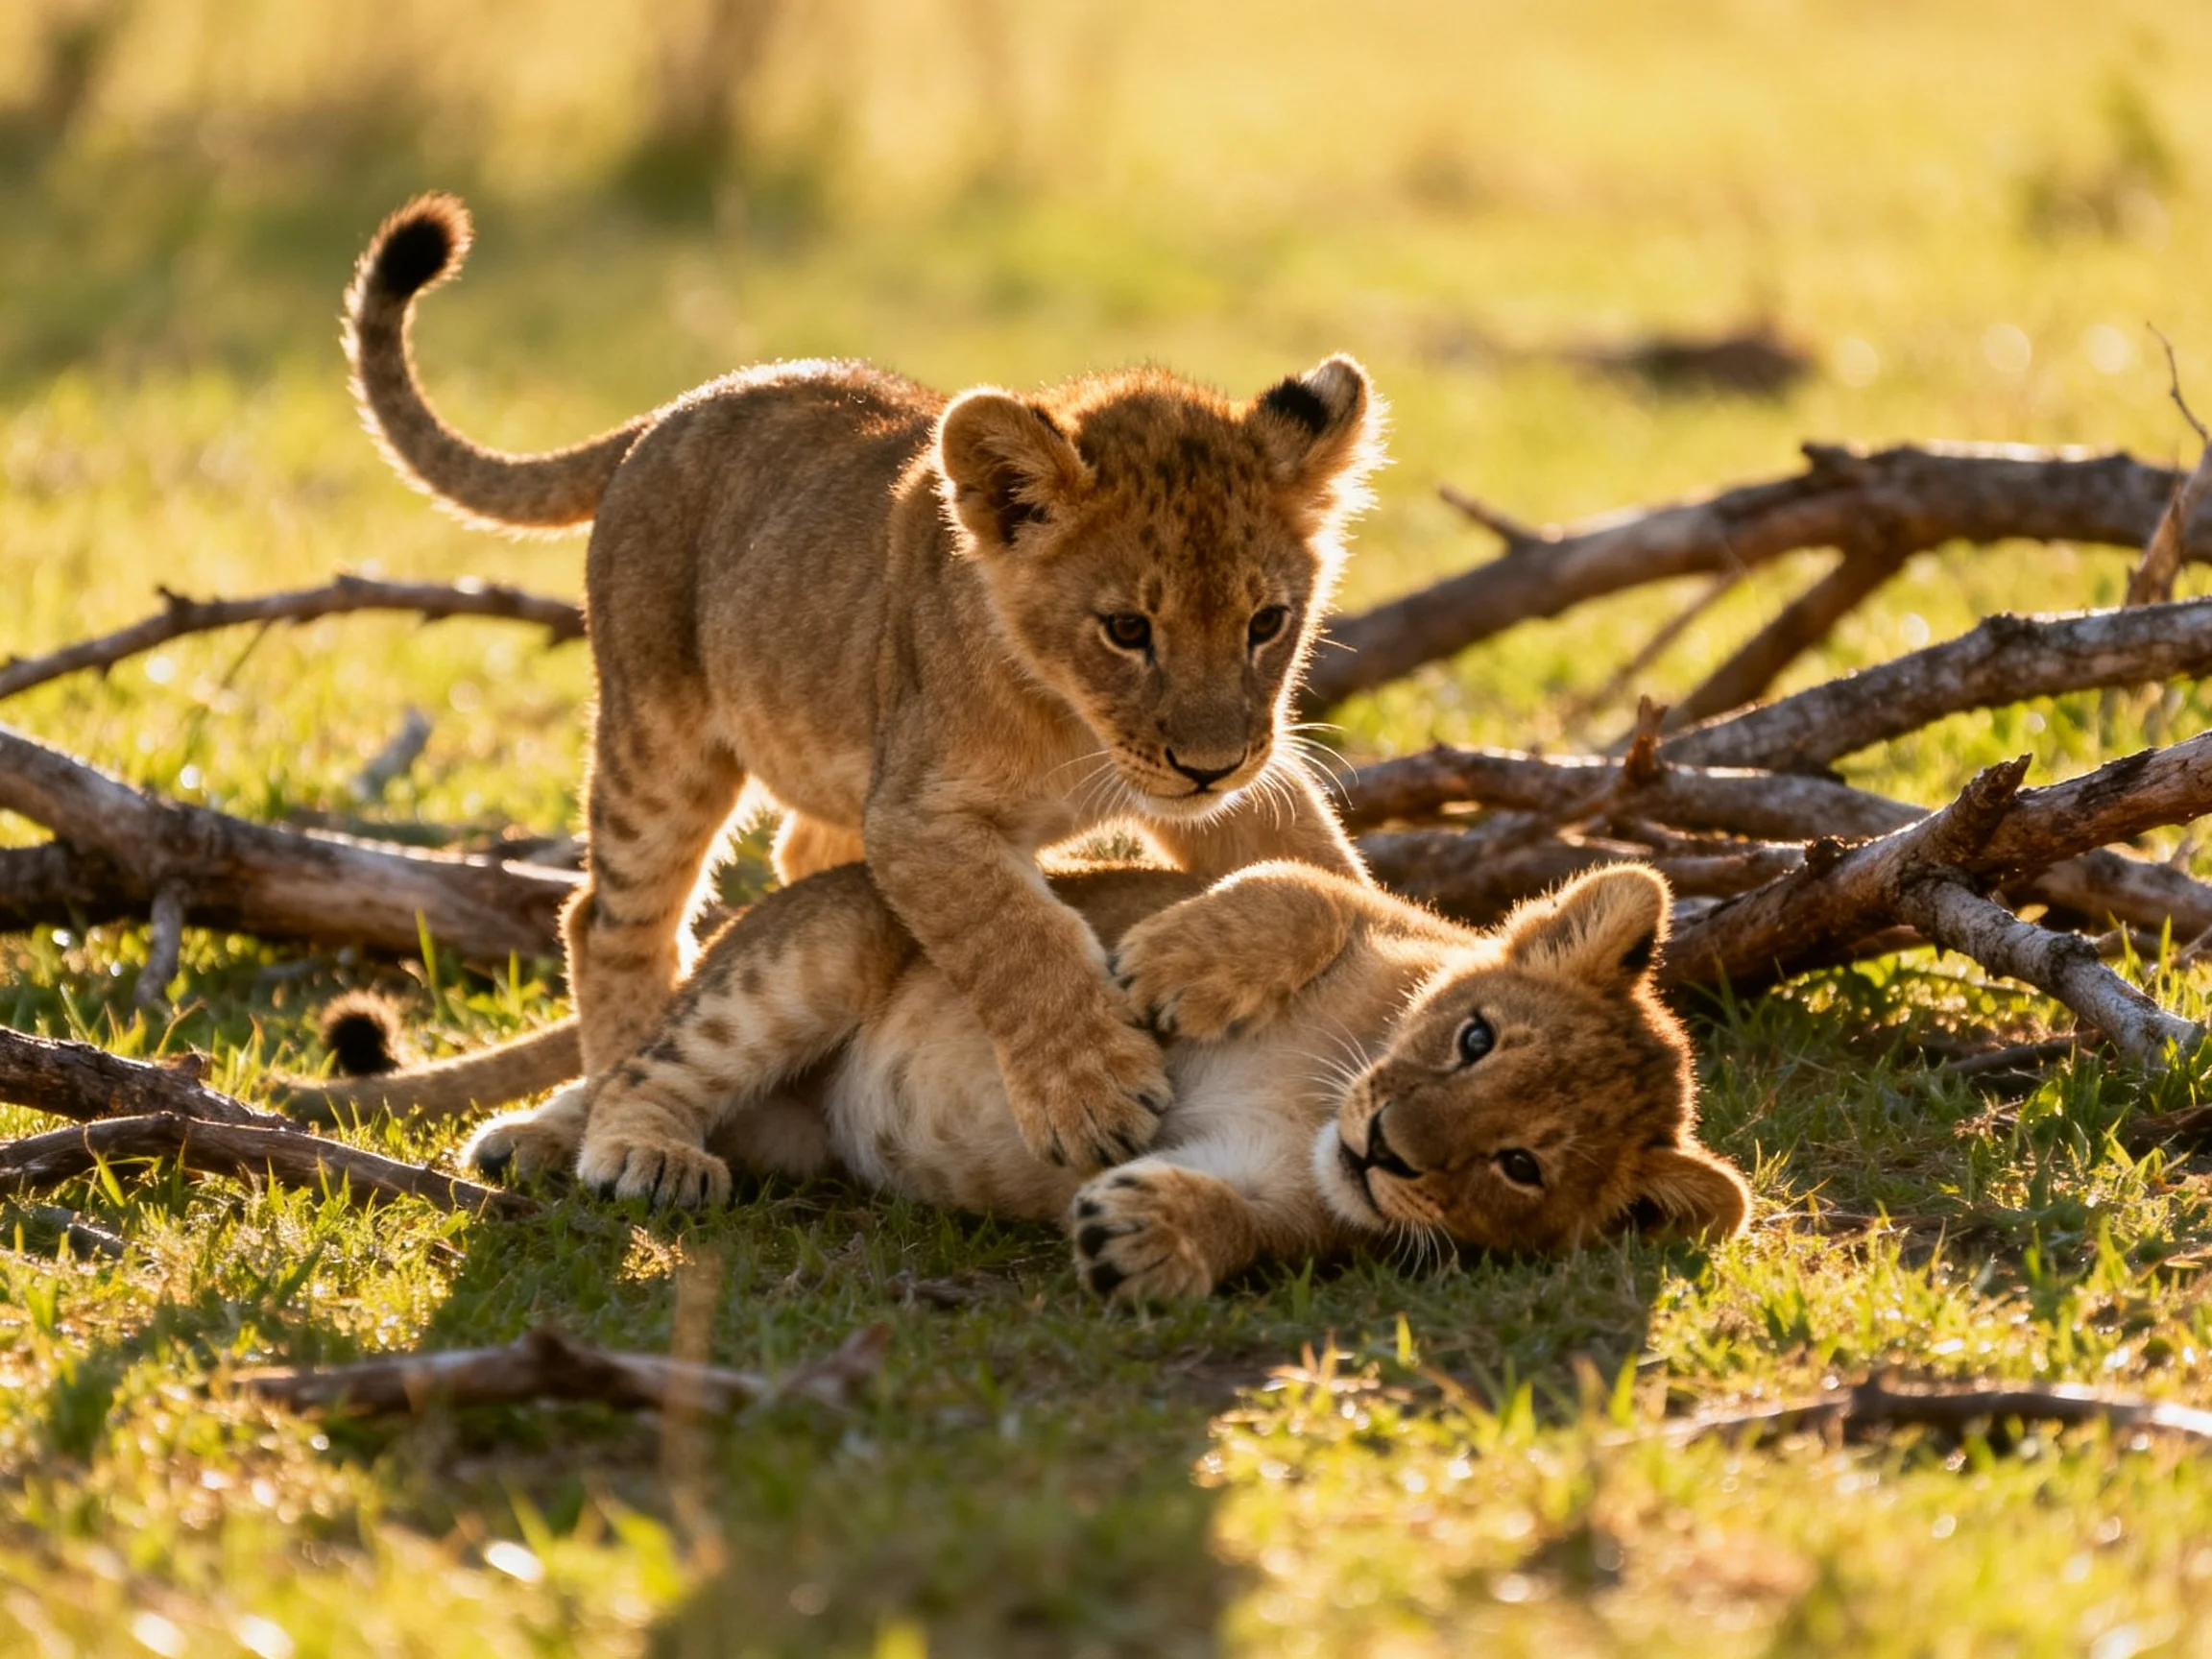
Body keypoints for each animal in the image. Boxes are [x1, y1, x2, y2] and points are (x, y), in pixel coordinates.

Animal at [300, 193, 1384, 1173]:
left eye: (1266, 623)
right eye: (1127, 630)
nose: (1209, 766)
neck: (1076, 724)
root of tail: (680, 405)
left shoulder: (1251, 776)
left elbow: (1333, 877)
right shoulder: (915, 816)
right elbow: (1013, 934)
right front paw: (1091, 1093)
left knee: (790, 857)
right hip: (660, 736)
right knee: (610, 924)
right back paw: (617, 1126)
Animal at [462, 860, 1751, 1304]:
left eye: (1520, 1166)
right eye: (1475, 1037)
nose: (1387, 1144)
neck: (1320, 1101)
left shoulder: (1306, 1211)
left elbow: (1247, 1227)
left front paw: (1146, 1241)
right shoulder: (1377, 908)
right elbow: (1300, 888)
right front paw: (1173, 970)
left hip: (793, 1131)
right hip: (817, 953)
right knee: (652, 1065)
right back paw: (624, 1152)